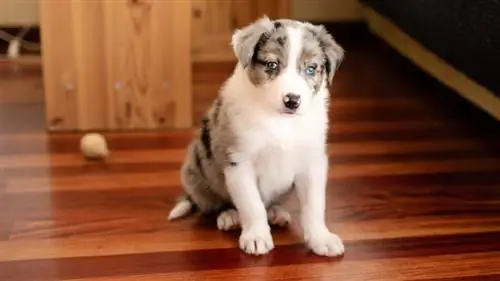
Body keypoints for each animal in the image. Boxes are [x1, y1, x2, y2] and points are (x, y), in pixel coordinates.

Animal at [168, 15, 344, 256]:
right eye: (271, 64)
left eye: (311, 68)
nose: (292, 100)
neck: (280, 120)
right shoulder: (239, 161)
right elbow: (251, 205)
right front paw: (256, 237)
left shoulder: (312, 161)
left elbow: (314, 205)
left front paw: (321, 239)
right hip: (195, 168)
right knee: (217, 204)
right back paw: (229, 216)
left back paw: (276, 212)